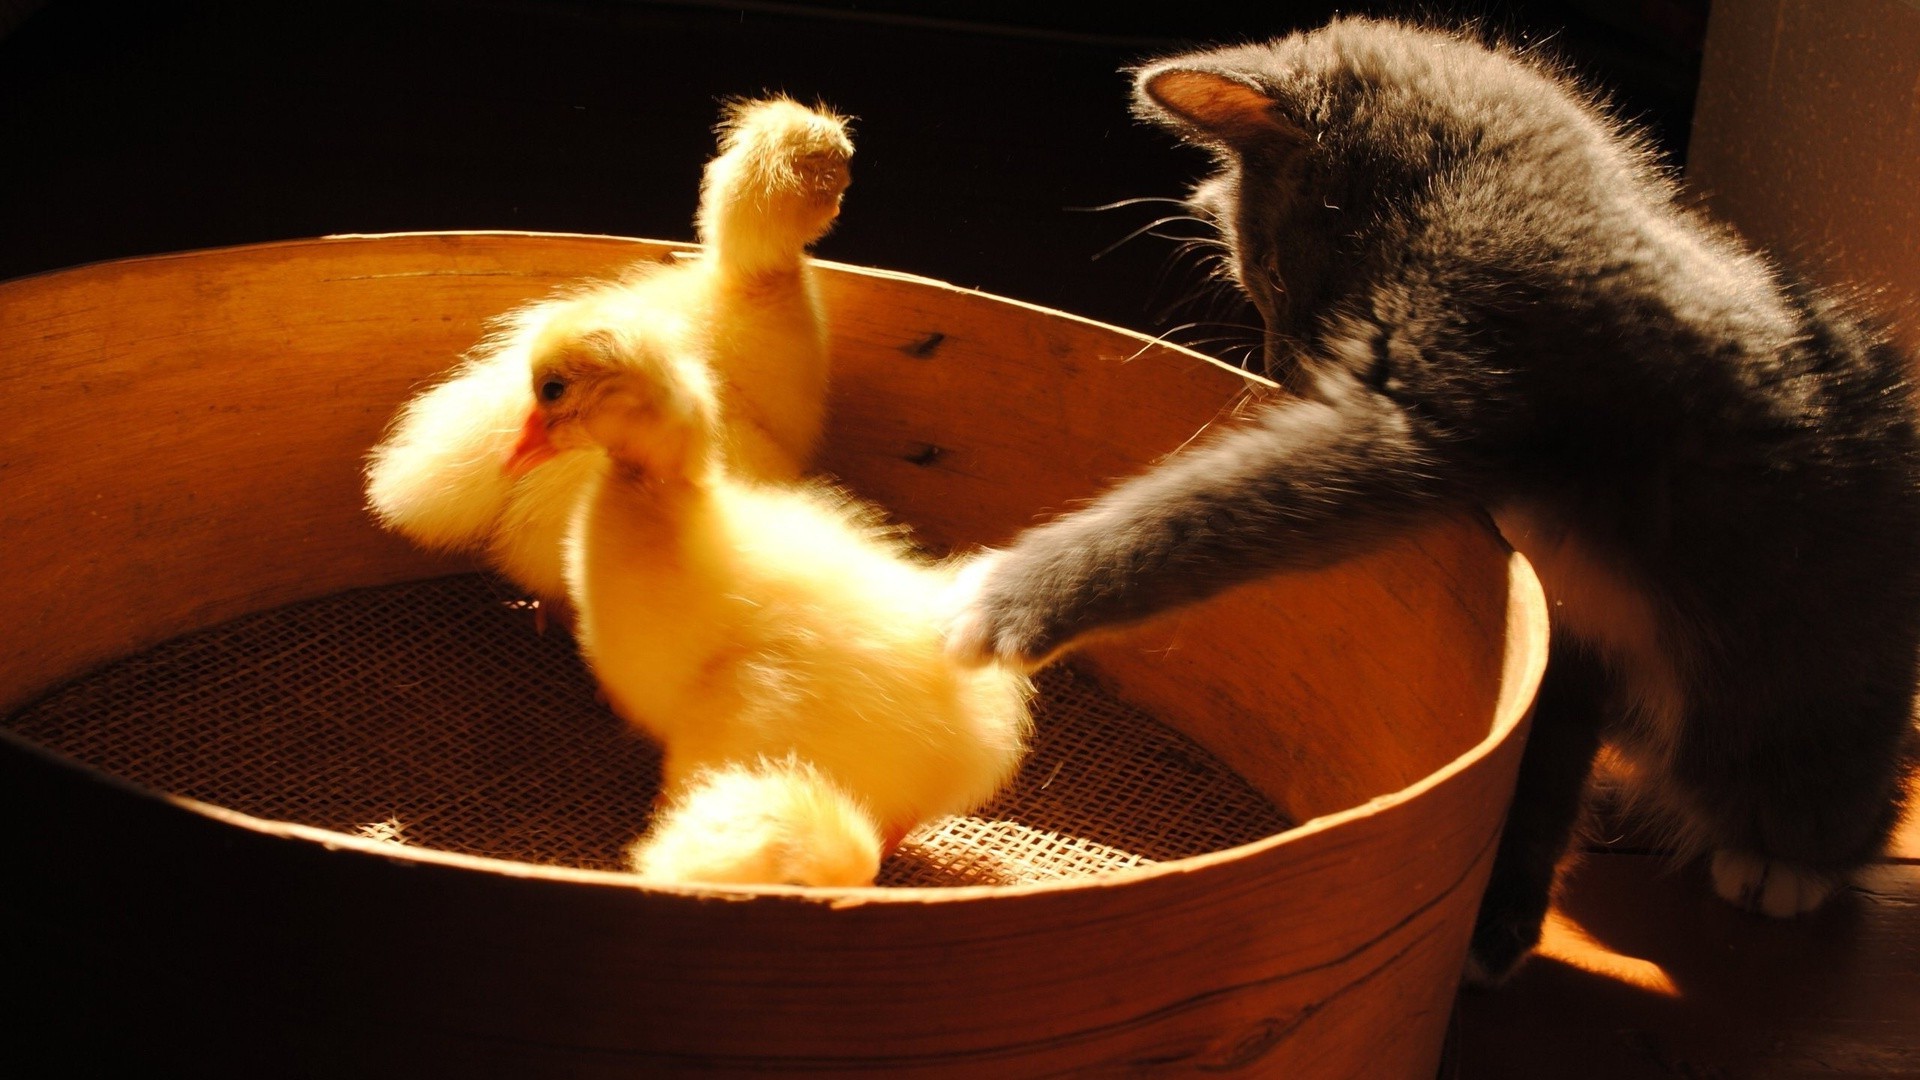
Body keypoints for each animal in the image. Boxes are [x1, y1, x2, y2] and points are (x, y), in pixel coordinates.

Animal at [944, 16, 1920, 980]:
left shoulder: (1452, 388)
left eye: (1275, 275)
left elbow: (1222, 503)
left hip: (1779, 678)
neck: (1483, 184)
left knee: (1801, 772)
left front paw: (998, 599)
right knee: (1556, 753)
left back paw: (1785, 866)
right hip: (1588, 639)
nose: (1281, 373)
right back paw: (1500, 920)